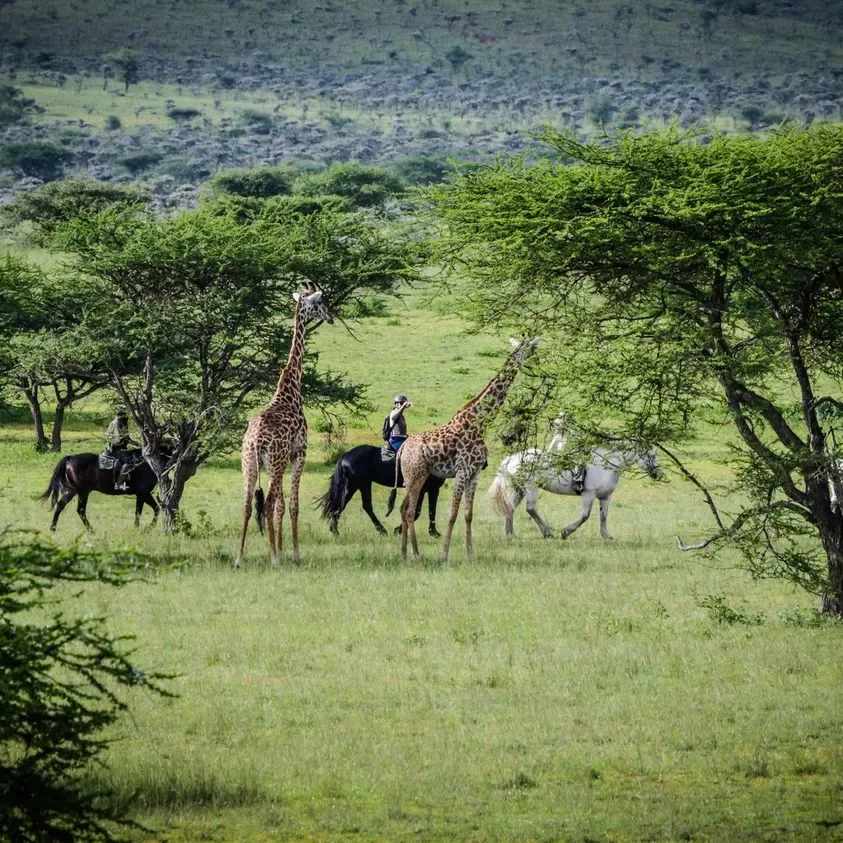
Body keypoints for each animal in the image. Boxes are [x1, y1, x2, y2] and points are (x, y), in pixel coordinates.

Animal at [235, 282, 333, 567]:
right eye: (319, 302)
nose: (330, 317)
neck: (290, 390)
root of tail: (256, 441)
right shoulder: (299, 454)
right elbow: (292, 505)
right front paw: (294, 554)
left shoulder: (277, 463)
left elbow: (280, 505)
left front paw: (281, 548)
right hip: (275, 463)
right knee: (266, 503)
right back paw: (274, 559)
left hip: (250, 464)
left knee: (248, 504)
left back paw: (240, 557)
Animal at [398, 336, 541, 561]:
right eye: (527, 347)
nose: (537, 353)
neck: (480, 422)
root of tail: (402, 448)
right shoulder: (462, 471)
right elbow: (452, 514)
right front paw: (445, 555)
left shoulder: (474, 474)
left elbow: (468, 514)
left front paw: (470, 554)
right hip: (416, 474)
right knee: (410, 511)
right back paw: (416, 554)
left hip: (412, 476)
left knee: (403, 509)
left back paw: (405, 554)